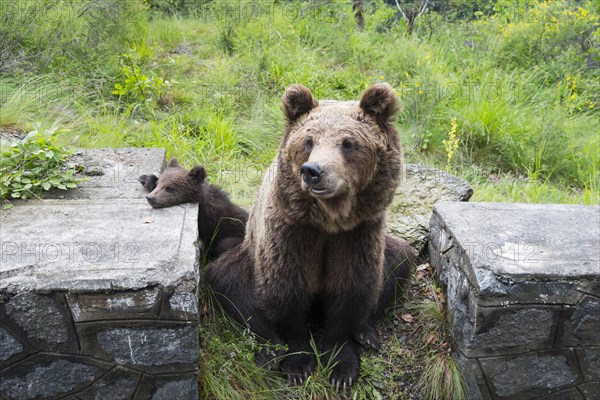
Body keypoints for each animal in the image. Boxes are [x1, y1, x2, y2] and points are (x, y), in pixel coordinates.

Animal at [204, 83, 414, 390]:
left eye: (348, 143)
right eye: (308, 141)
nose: (313, 171)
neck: (329, 221)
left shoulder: (358, 233)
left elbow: (352, 285)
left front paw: (341, 366)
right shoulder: (291, 231)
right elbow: (287, 289)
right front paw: (299, 364)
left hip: (386, 248)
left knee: (399, 261)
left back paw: (366, 332)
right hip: (246, 255)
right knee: (229, 283)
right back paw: (269, 348)